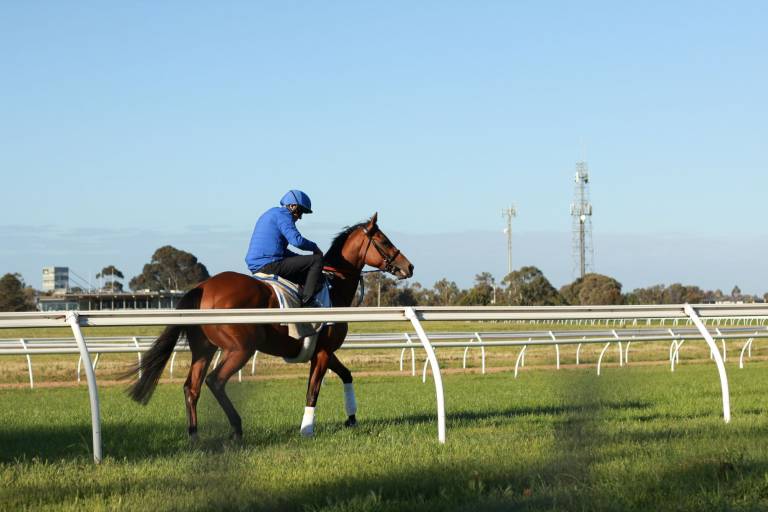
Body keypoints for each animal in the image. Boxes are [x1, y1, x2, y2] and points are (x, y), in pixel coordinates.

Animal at [126, 212, 414, 440]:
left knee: (191, 387)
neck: (334, 288)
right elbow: (313, 391)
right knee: (215, 381)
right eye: (385, 241)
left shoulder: (324, 351)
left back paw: (194, 435)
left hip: (204, 349)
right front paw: (307, 430)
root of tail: (202, 287)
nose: (408, 266)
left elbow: (346, 375)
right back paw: (236, 428)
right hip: (241, 348)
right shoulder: (322, 352)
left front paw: (352, 418)